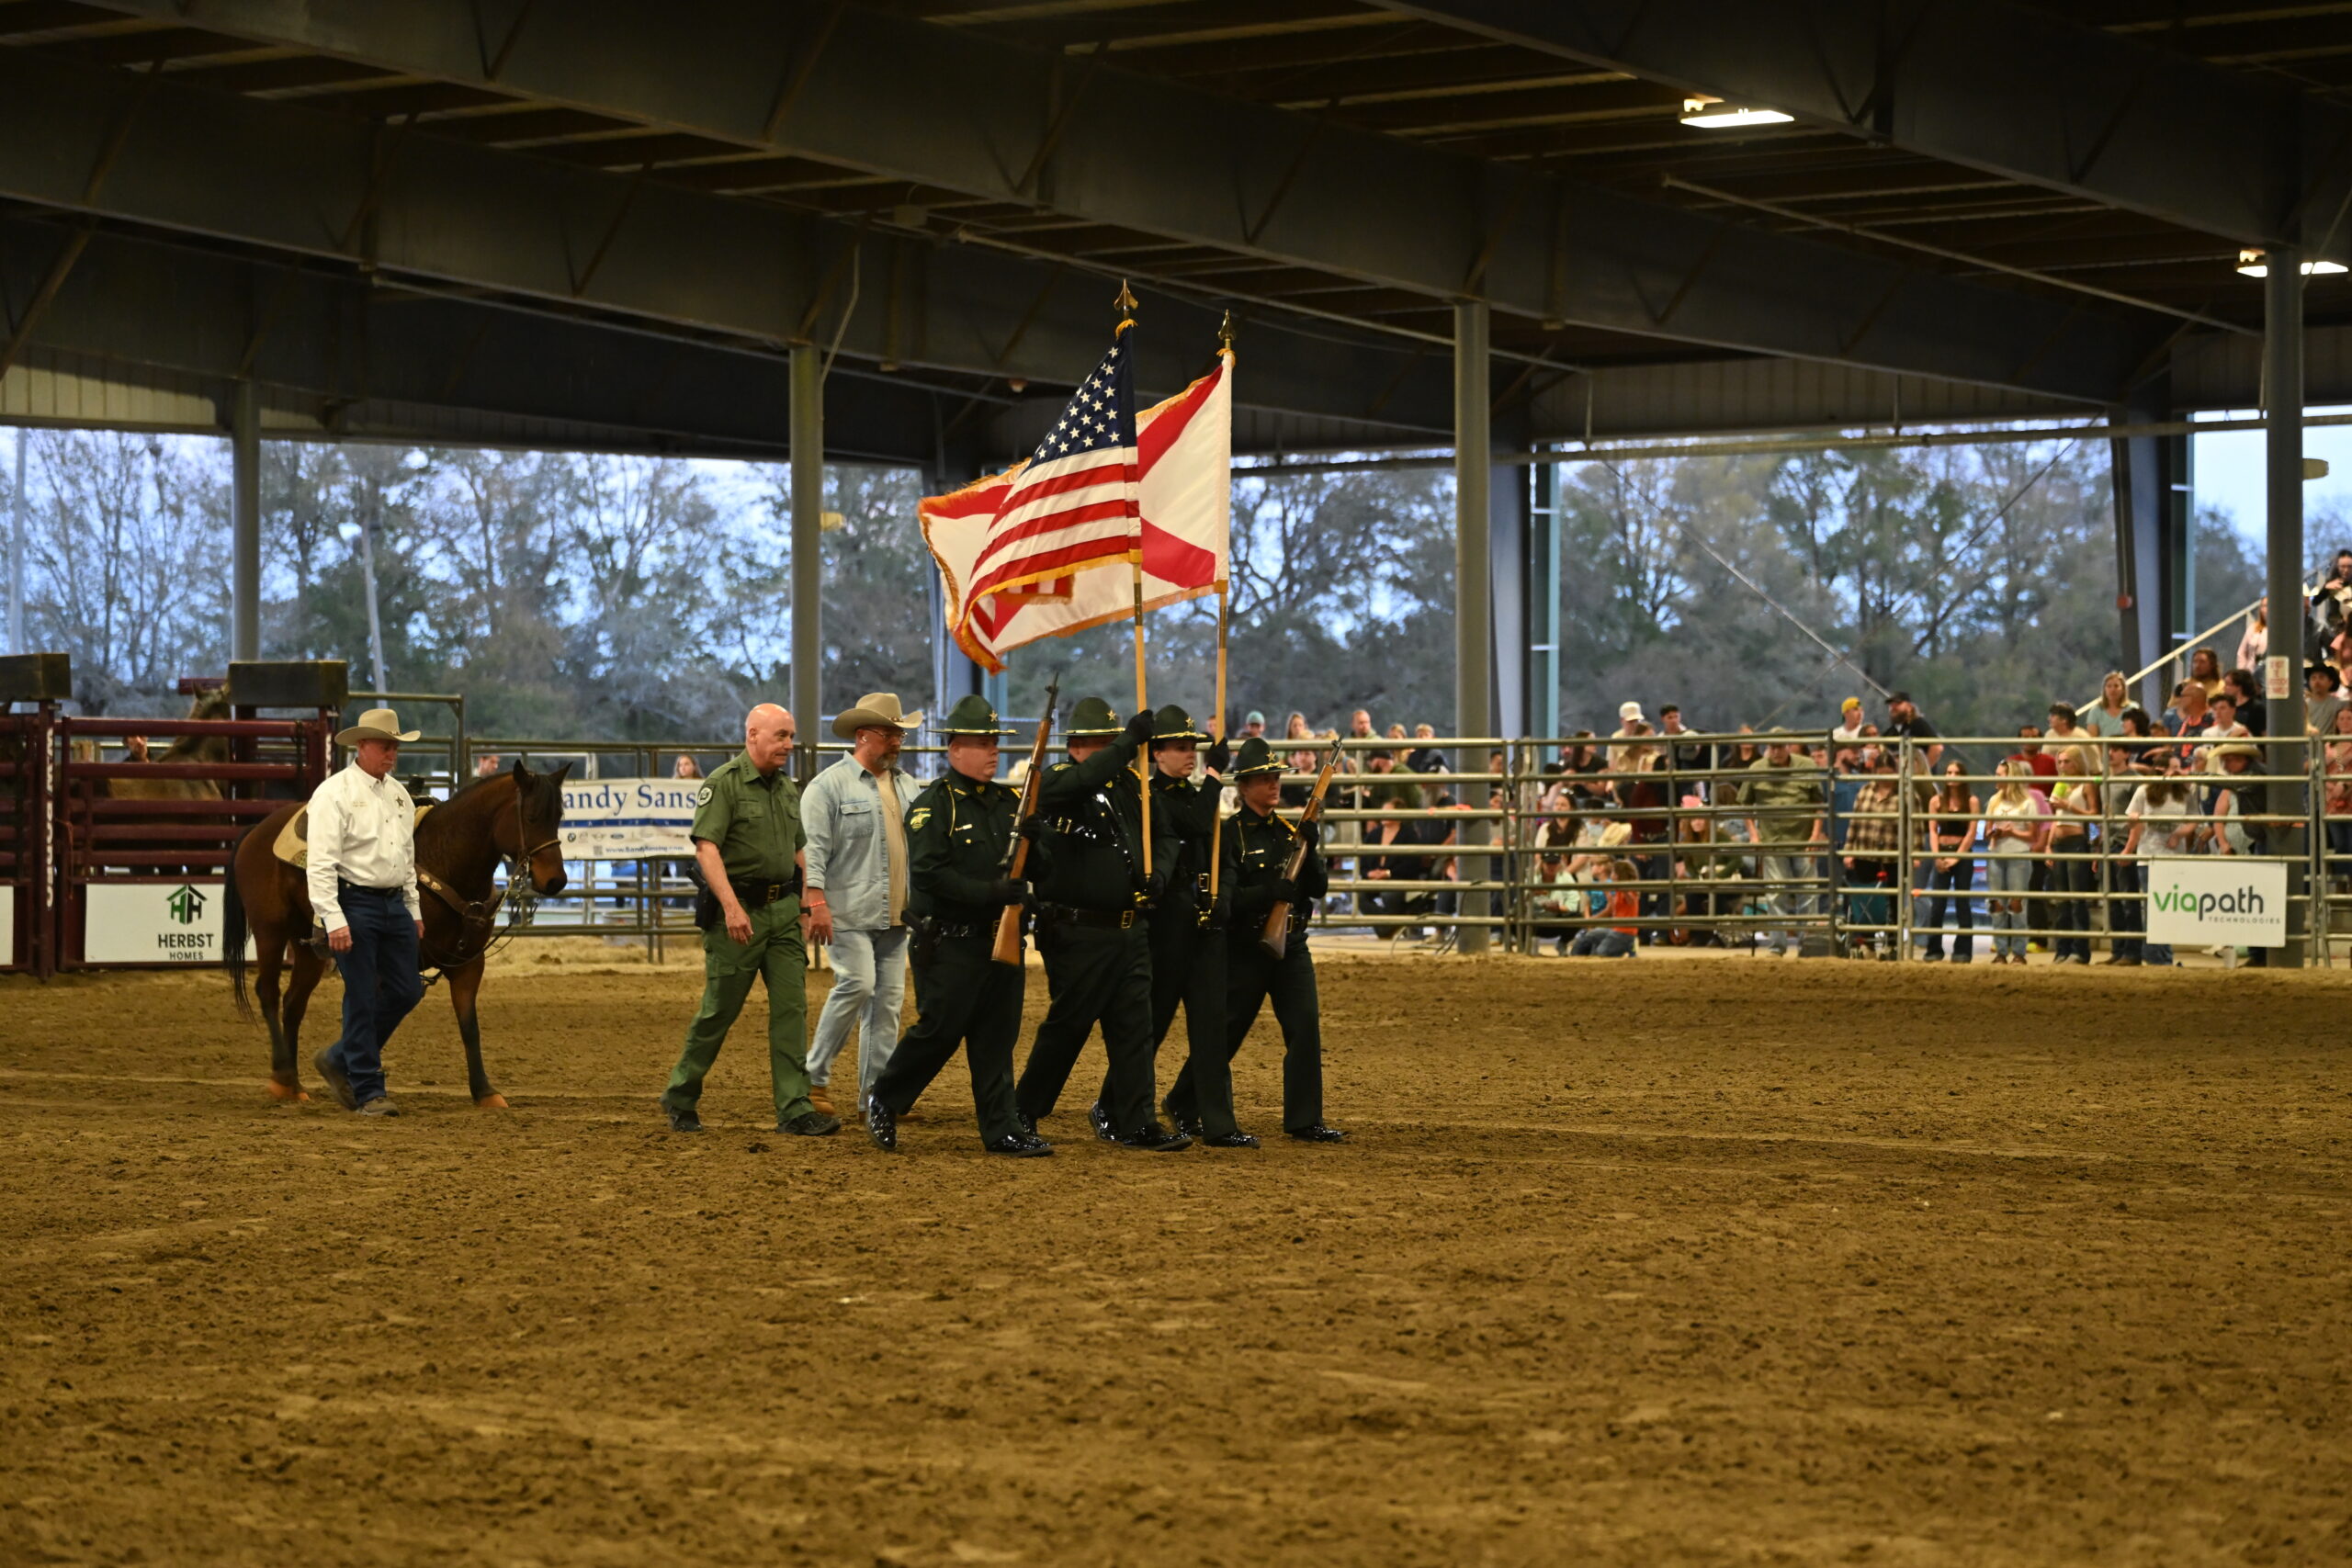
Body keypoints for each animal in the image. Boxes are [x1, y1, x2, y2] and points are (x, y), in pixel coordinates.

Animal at [223, 758, 571, 1108]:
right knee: (268, 993)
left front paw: (485, 1091)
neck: (445, 859)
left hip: (307, 947)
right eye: (531, 816)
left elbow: (469, 1026)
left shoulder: (469, 964)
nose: (556, 880)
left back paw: (293, 1083)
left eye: (558, 817)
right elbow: (372, 1021)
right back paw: (281, 1077)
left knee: (294, 1003)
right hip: (270, 931)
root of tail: (256, 830)